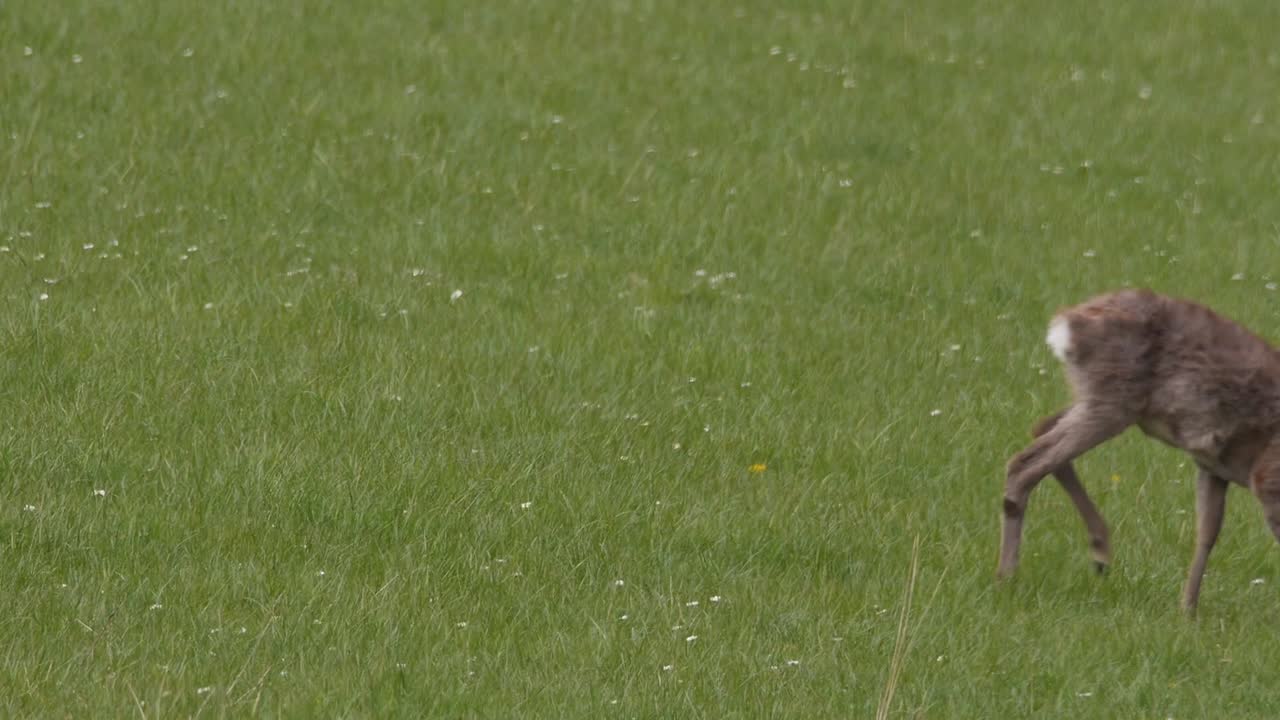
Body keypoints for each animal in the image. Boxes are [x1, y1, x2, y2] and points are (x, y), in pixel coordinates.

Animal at [998, 288, 1280, 611]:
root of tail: (1067, 324)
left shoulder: (1212, 466)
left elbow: (1207, 532)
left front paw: (1187, 609)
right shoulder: (1267, 477)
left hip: (1097, 399)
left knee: (1042, 430)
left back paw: (1100, 553)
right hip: (1111, 402)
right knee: (1025, 463)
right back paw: (1007, 577)